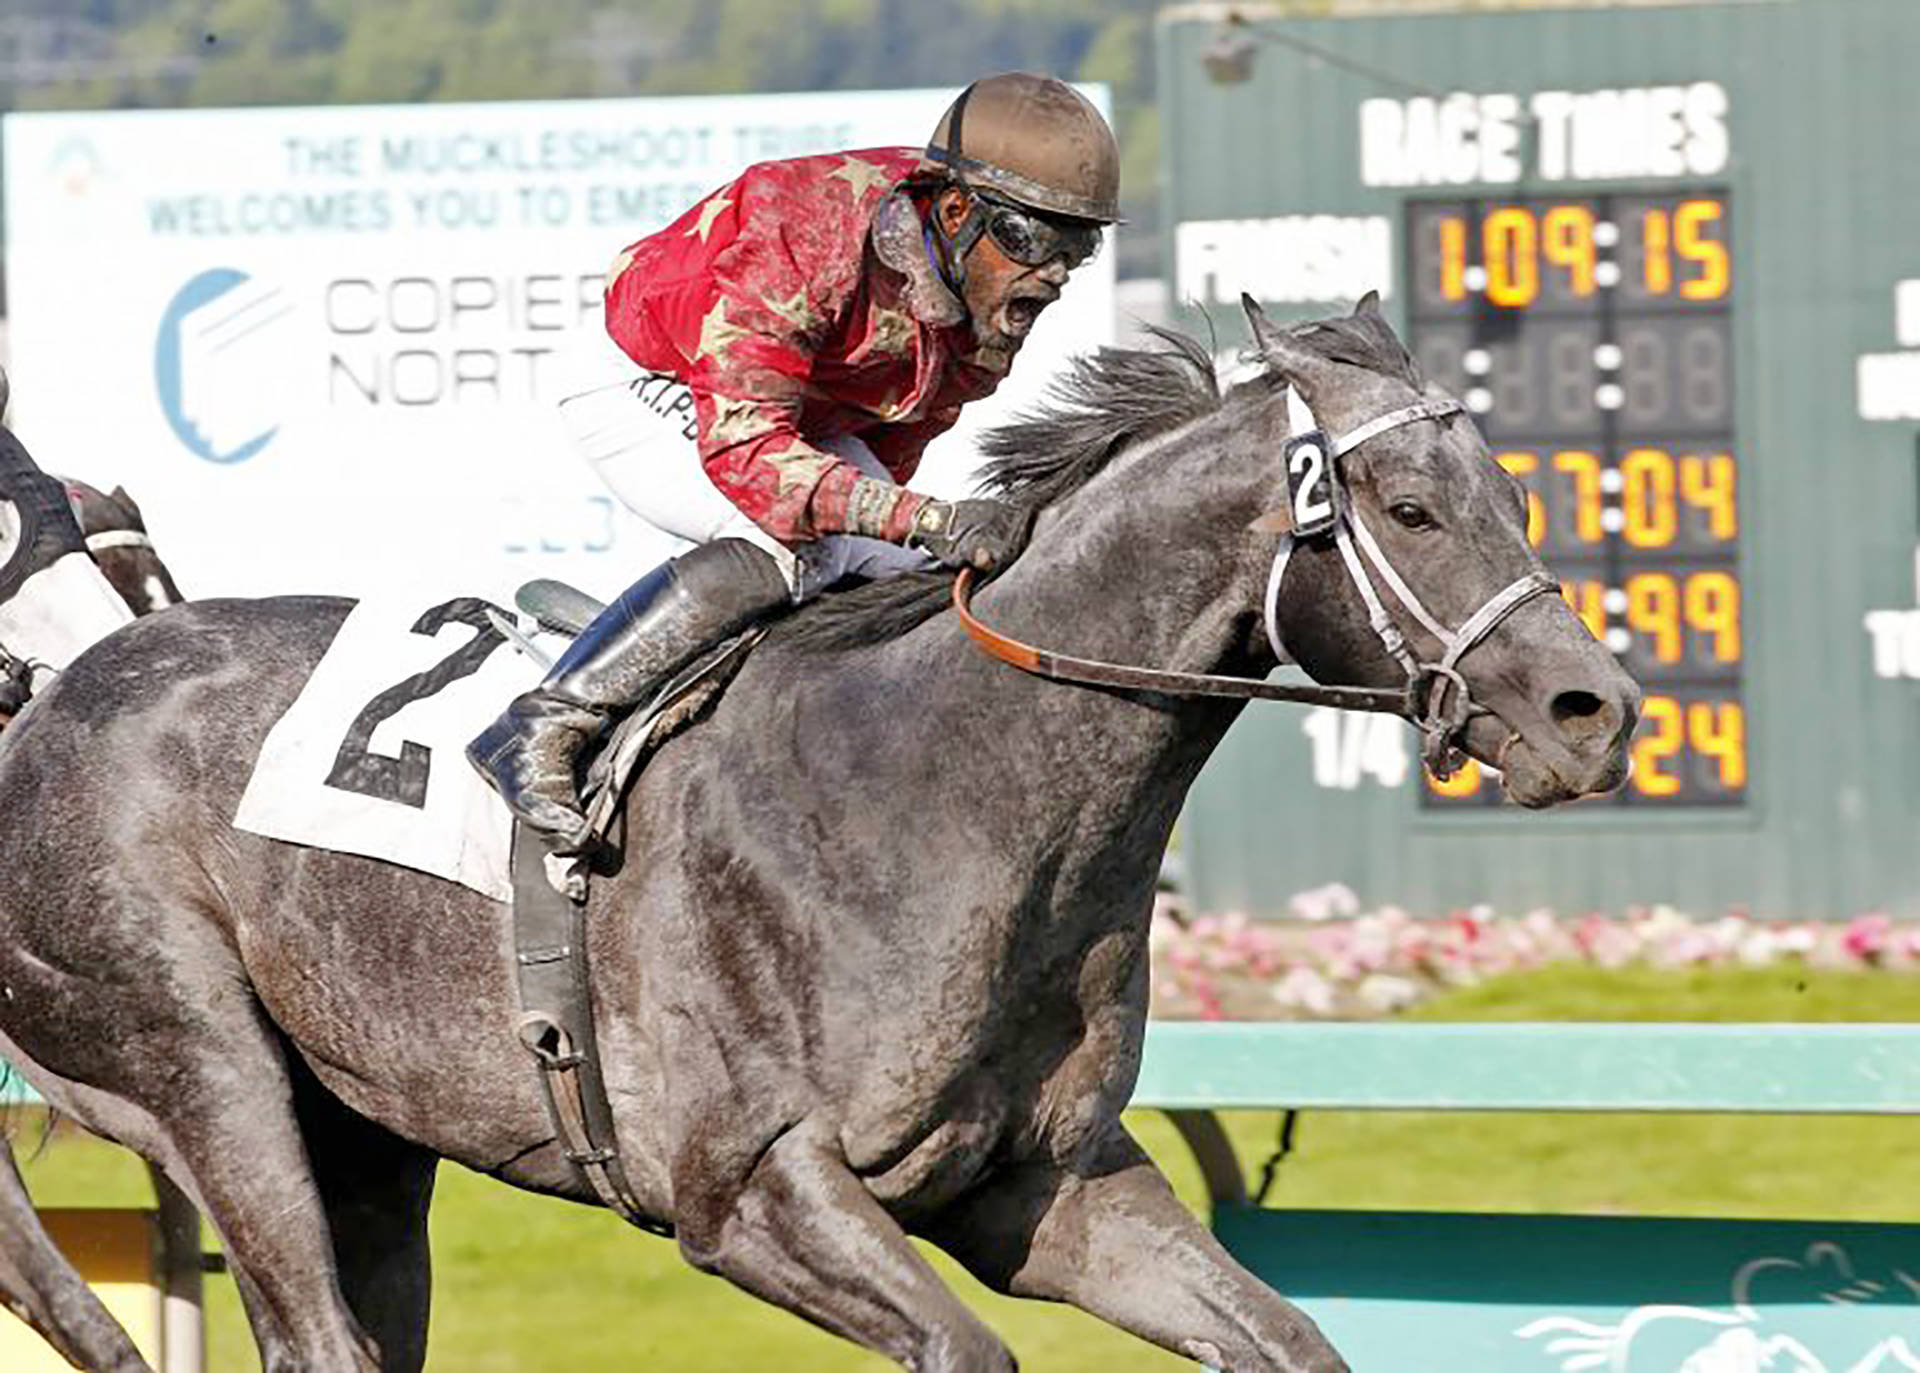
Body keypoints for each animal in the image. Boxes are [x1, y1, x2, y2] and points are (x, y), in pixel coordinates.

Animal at [0, 303, 1635, 1373]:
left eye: (1511, 488)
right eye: (1411, 507)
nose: (1596, 711)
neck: (945, 791)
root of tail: (50, 697)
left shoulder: (1045, 1188)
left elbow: (1291, 1337)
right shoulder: (749, 1188)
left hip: (370, 1131)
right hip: (202, 1071)